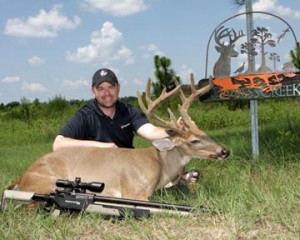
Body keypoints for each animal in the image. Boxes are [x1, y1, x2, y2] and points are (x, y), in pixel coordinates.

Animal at [7, 74, 230, 203]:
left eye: (204, 133)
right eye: (194, 141)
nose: (224, 151)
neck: (160, 165)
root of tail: (22, 177)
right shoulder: (134, 191)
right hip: (49, 182)